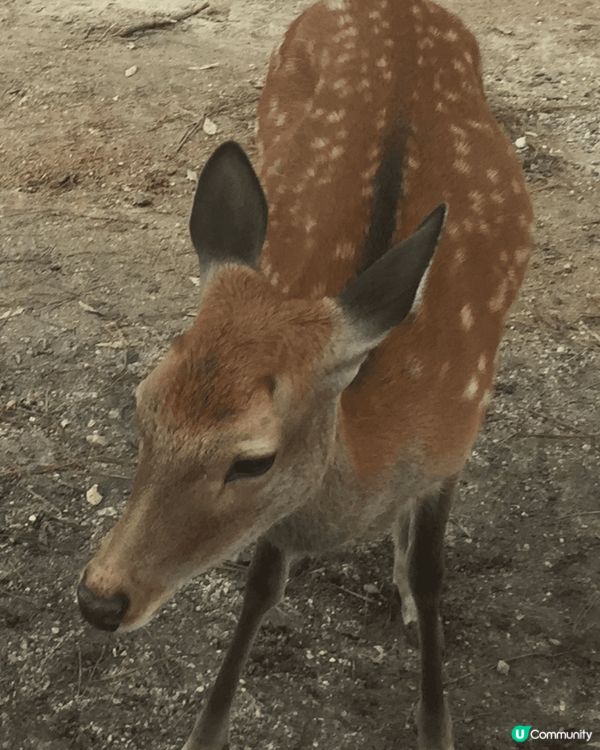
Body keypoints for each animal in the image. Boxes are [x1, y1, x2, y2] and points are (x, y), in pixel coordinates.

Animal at [76, 0, 533, 747]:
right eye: (142, 405)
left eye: (253, 458)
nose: (98, 600)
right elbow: (263, 586)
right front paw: (204, 731)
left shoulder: (458, 432)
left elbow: (432, 575)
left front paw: (436, 722)